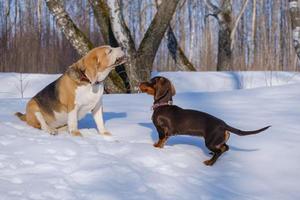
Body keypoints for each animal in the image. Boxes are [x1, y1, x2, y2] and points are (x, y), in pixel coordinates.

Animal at [139, 76, 270, 166]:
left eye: (151, 81)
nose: (139, 83)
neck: (162, 106)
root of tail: (224, 125)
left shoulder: (163, 131)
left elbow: (161, 141)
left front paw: (156, 148)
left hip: (210, 142)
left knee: (221, 150)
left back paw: (209, 162)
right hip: (217, 140)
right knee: (225, 147)